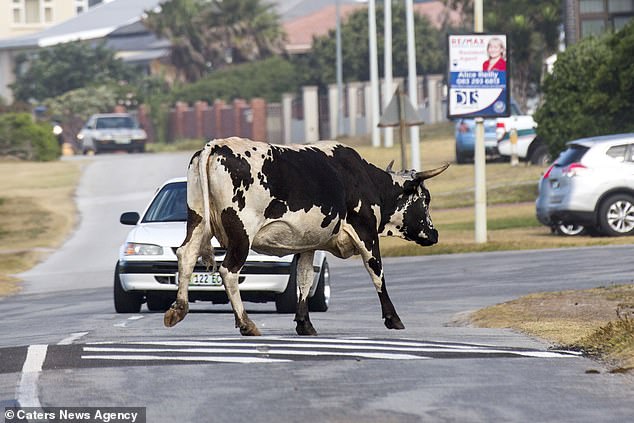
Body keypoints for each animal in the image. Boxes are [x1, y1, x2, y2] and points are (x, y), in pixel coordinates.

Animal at [165, 138, 446, 338]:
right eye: (426, 199)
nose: (434, 234)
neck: (363, 179)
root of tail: (216, 145)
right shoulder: (366, 233)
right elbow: (377, 273)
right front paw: (393, 318)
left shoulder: (308, 243)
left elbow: (304, 278)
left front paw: (304, 324)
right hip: (241, 233)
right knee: (229, 270)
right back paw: (246, 323)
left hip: (197, 220)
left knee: (186, 255)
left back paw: (178, 309)